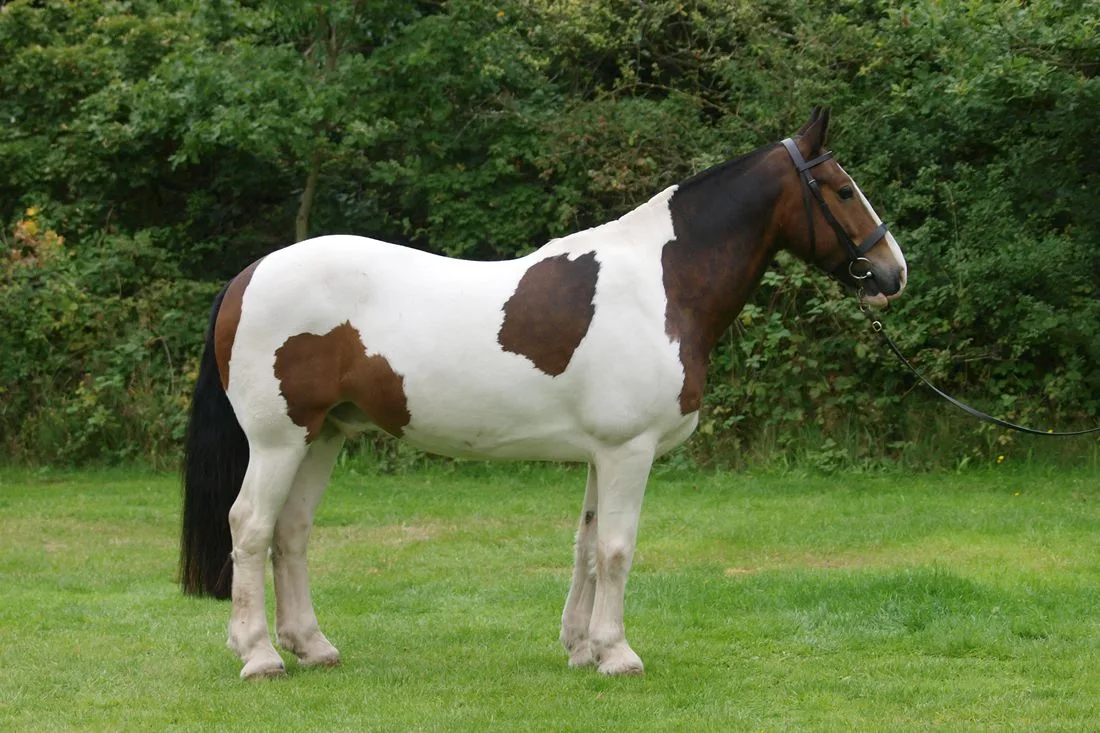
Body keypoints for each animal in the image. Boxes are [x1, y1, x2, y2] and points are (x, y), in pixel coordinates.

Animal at [180, 107, 907, 679]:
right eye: (843, 191)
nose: (892, 273)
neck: (661, 284)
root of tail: (249, 274)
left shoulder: (601, 452)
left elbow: (585, 546)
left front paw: (581, 648)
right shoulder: (628, 451)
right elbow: (616, 548)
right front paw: (618, 654)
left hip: (324, 435)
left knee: (291, 531)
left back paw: (312, 646)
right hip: (279, 439)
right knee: (250, 526)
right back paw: (259, 656)